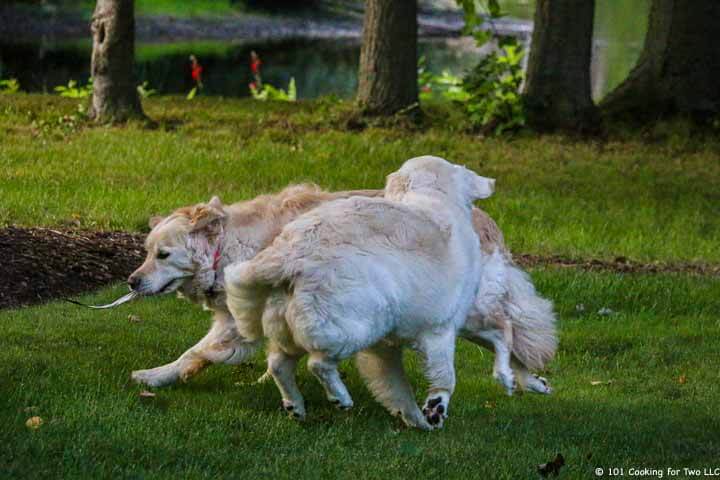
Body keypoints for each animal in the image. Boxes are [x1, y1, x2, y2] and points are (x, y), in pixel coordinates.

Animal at [225, 157, 496, 428]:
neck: (431, 198)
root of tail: (290, 255)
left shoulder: (385, 348)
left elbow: (396, 386)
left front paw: (414, 419)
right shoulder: (440, 328)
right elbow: (446, 376)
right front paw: (434, 411)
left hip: (289, 328)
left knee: (278, 364)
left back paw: (295, 406)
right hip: (354, 327)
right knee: (318, 364)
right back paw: (340, 397)